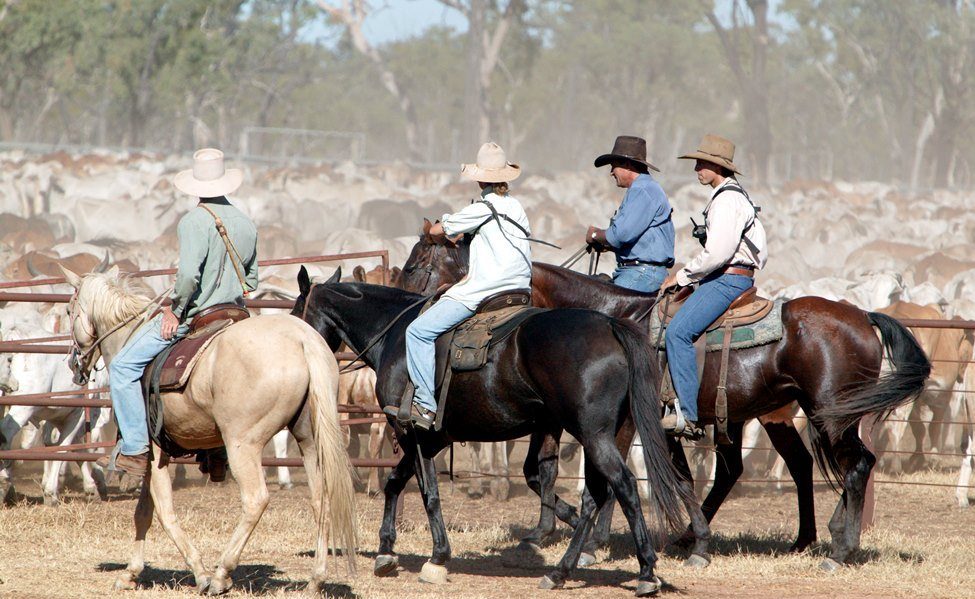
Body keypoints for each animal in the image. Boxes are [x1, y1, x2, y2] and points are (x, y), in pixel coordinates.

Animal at [58, 270, 354, 596]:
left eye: (69, 311)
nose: (73, 363)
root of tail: (303, 340)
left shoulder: (154, 453)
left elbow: (164, 512)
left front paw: (199, 573)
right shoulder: (152, 458)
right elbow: (143, 512)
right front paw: (131, 573)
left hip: (243, 444)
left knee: (255, 500)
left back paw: (221, 574)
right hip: (310, 440)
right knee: (321, 499)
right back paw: (316, 579)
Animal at [296, 270, 692, 596]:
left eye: (298, 311)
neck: (396, 338)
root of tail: (610, 325)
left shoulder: (415, 434)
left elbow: (427, 493)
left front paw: (437, 558)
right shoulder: (433, 439)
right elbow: (395, 482)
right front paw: (385, 551)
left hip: (593, 435)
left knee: (622, 486)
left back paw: (645, 572)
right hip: (605, 433)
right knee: (596, 494)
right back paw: (561, 571)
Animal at [396, 231, 932, 572]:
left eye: (419, 263)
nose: (404, 312)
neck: (614, 318)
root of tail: (862, 315)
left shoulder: (636, 422)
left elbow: (626, 479)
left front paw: (598, 545)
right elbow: (657, 478)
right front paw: (678, 540)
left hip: (828, 415)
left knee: (856, 465)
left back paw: (839, 551)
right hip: (792, 416)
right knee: (802, 468)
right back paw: (810, 539)